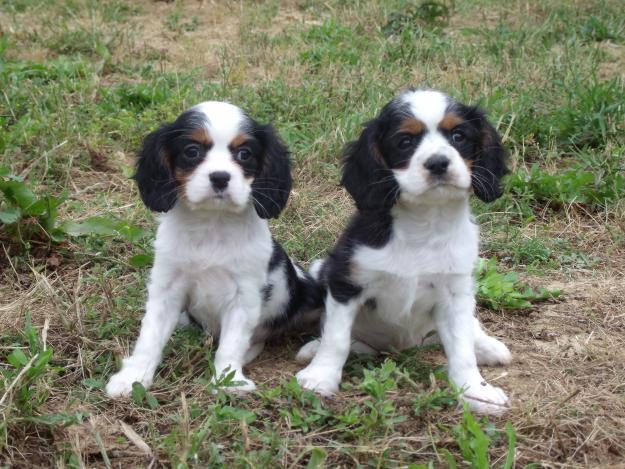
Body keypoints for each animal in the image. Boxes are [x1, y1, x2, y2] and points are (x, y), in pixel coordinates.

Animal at [106, 101, 322, 394]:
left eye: (244, 154)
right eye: (192, 151)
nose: (220, 177)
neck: (212, 223)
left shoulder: (244, 295)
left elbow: (231, 344)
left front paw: (229, 380)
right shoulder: (167, 288)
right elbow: (149, 336)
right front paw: (133, 377)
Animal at [296, 88, 512, 414]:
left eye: (459, 136)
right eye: (405, 142)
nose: (438, 163)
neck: (424, 224)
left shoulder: (455, 293)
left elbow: (462, 350)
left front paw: (476, 392)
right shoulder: (346, 281)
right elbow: (336, 338)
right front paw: (320, 378)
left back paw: (489, 347)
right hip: (322, 268)